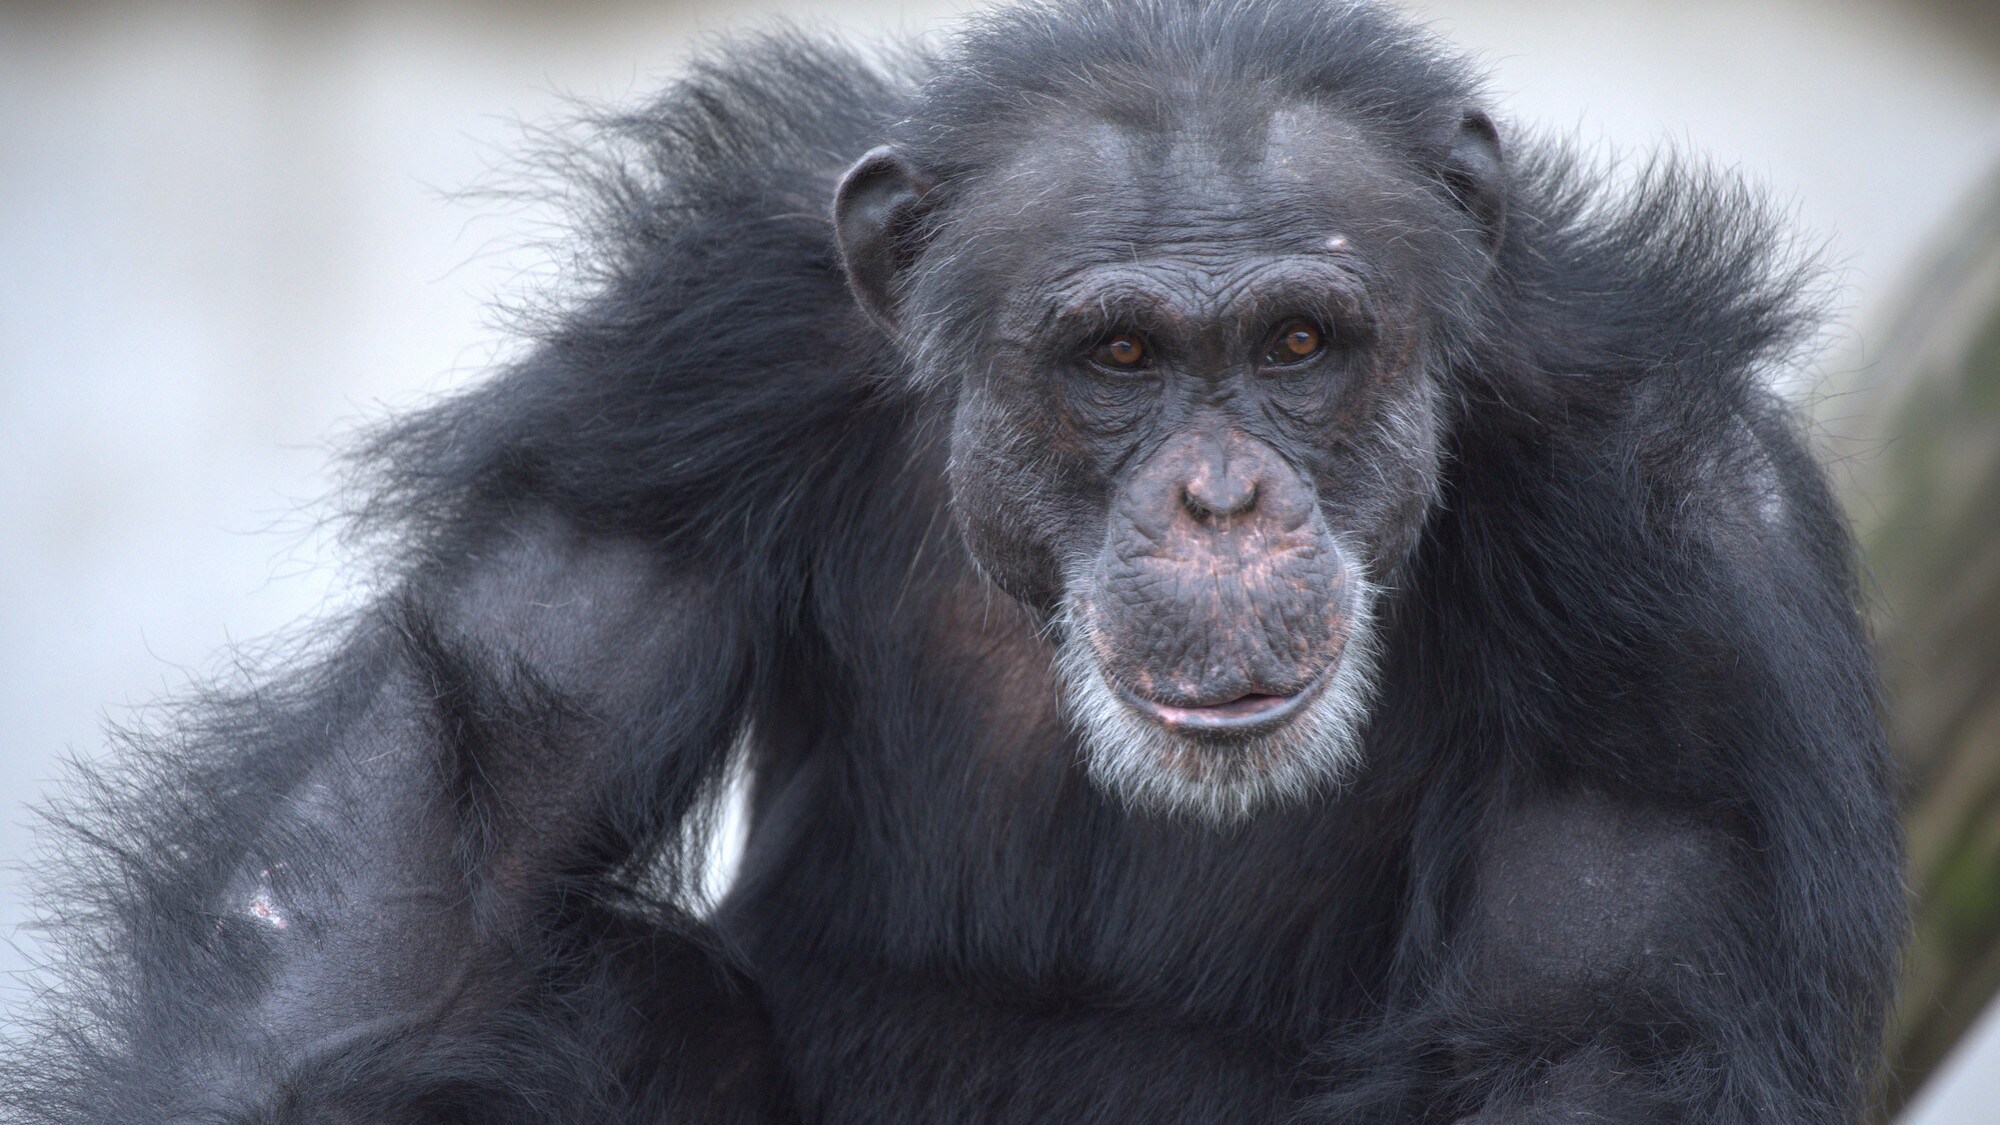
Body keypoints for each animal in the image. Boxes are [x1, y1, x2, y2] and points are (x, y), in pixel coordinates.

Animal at [0, 2, 1904, 1120]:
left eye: (1299, 344)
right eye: (1120, 357)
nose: (1224, 500)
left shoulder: (1677, 565)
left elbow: (1589, 1044)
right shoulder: (691, 377)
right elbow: (395, 924)